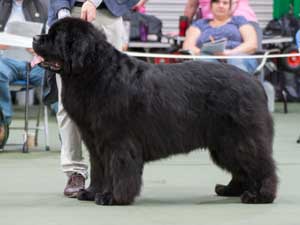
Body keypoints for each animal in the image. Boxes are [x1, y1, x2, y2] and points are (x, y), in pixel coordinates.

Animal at [32, 17, 276, 204]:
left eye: (56, 36)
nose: (35, 38)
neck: (94, 72)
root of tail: (255, 83)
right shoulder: (95, 141)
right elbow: (99, 169)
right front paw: (92, 193)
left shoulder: (118, 141)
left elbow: (118, 169)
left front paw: (113, 197)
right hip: (223, 143)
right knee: (241, 168)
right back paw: (231, 190)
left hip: (240, 137)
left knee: (260, 164)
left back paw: (260, 196)